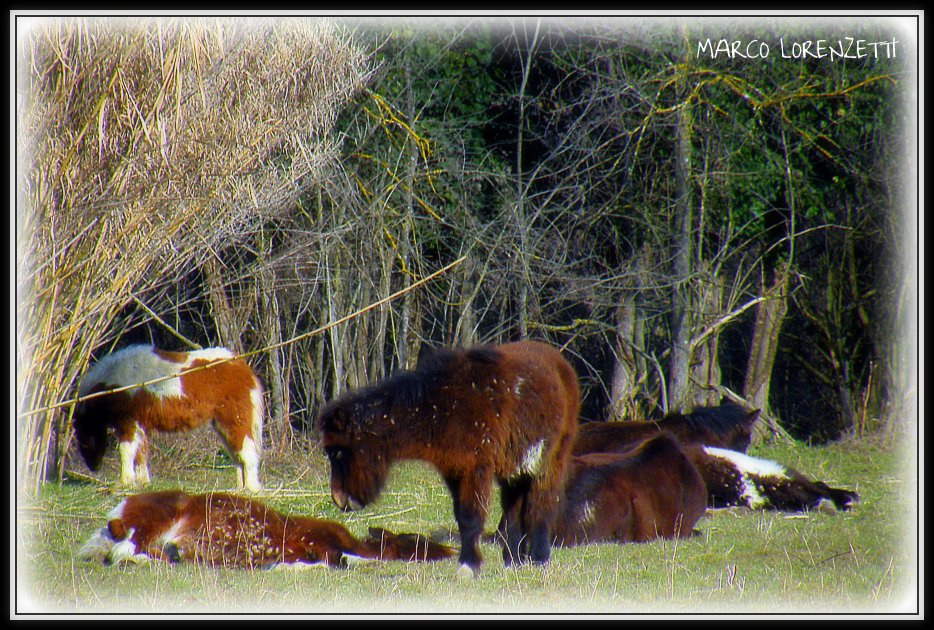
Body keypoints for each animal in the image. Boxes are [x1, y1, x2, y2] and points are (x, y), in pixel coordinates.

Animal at [74, 346, 266, 494]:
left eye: (83, 442)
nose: (94, 468)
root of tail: (242, 367)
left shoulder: (128, 424)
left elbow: (126, 451)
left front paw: (125, 482)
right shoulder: (139, 425)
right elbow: (140, 453)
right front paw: (143, 483)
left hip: (235, 421)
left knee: (247, 452)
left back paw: (251, 488)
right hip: (222, 426)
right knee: (237, 455)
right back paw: (240, 489)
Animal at [322, 340, 584, 576]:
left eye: (337, 452)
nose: (339, 499)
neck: (445, 407)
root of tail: (561, 364)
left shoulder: (475, 469)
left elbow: (471, 517)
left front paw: (468, 566)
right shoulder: (453, 471)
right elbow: (462, 518)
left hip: (550, 461)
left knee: (542, 505)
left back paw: (539, 559)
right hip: (513, 468)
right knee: (513, 509)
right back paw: (513, 560)